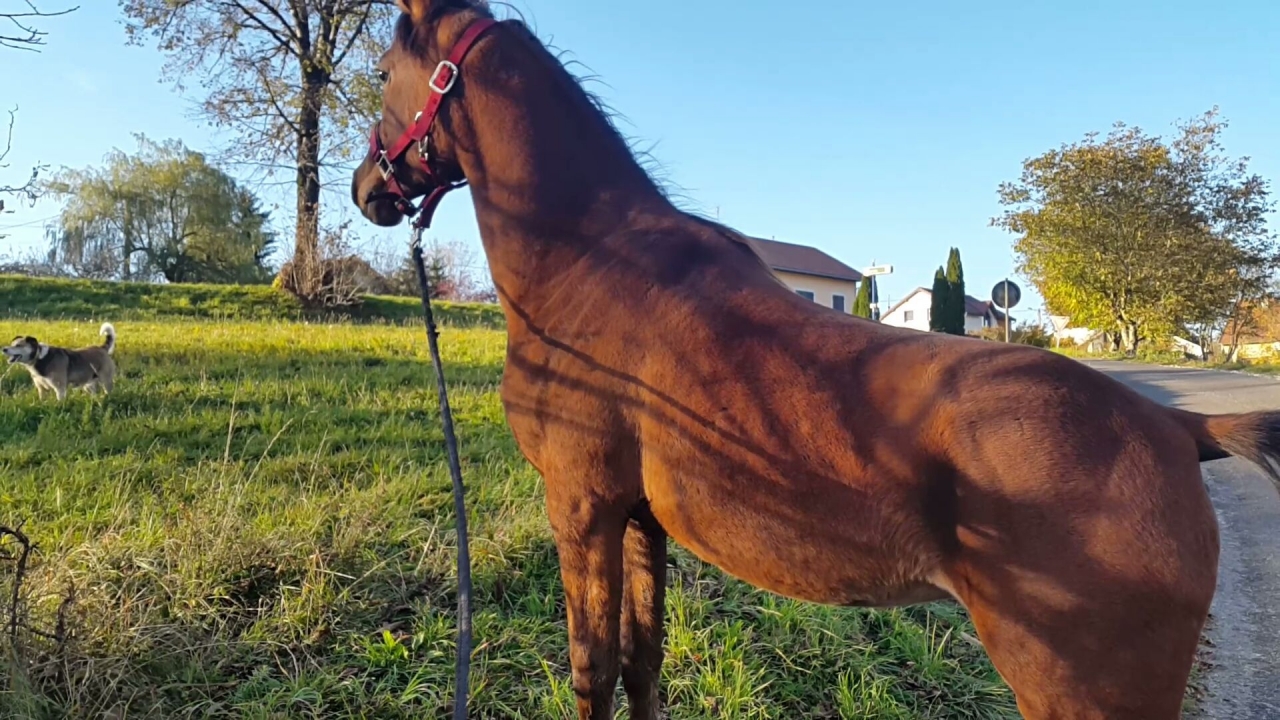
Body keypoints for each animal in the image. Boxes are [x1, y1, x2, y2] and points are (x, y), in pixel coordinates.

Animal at [351, 1, 1280, 717]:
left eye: (387, 70)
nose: (369, 190)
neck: (594, 263)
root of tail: (1177, 428)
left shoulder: (581, 507)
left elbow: (594, 672)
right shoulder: (641, 518)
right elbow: (643, 664)